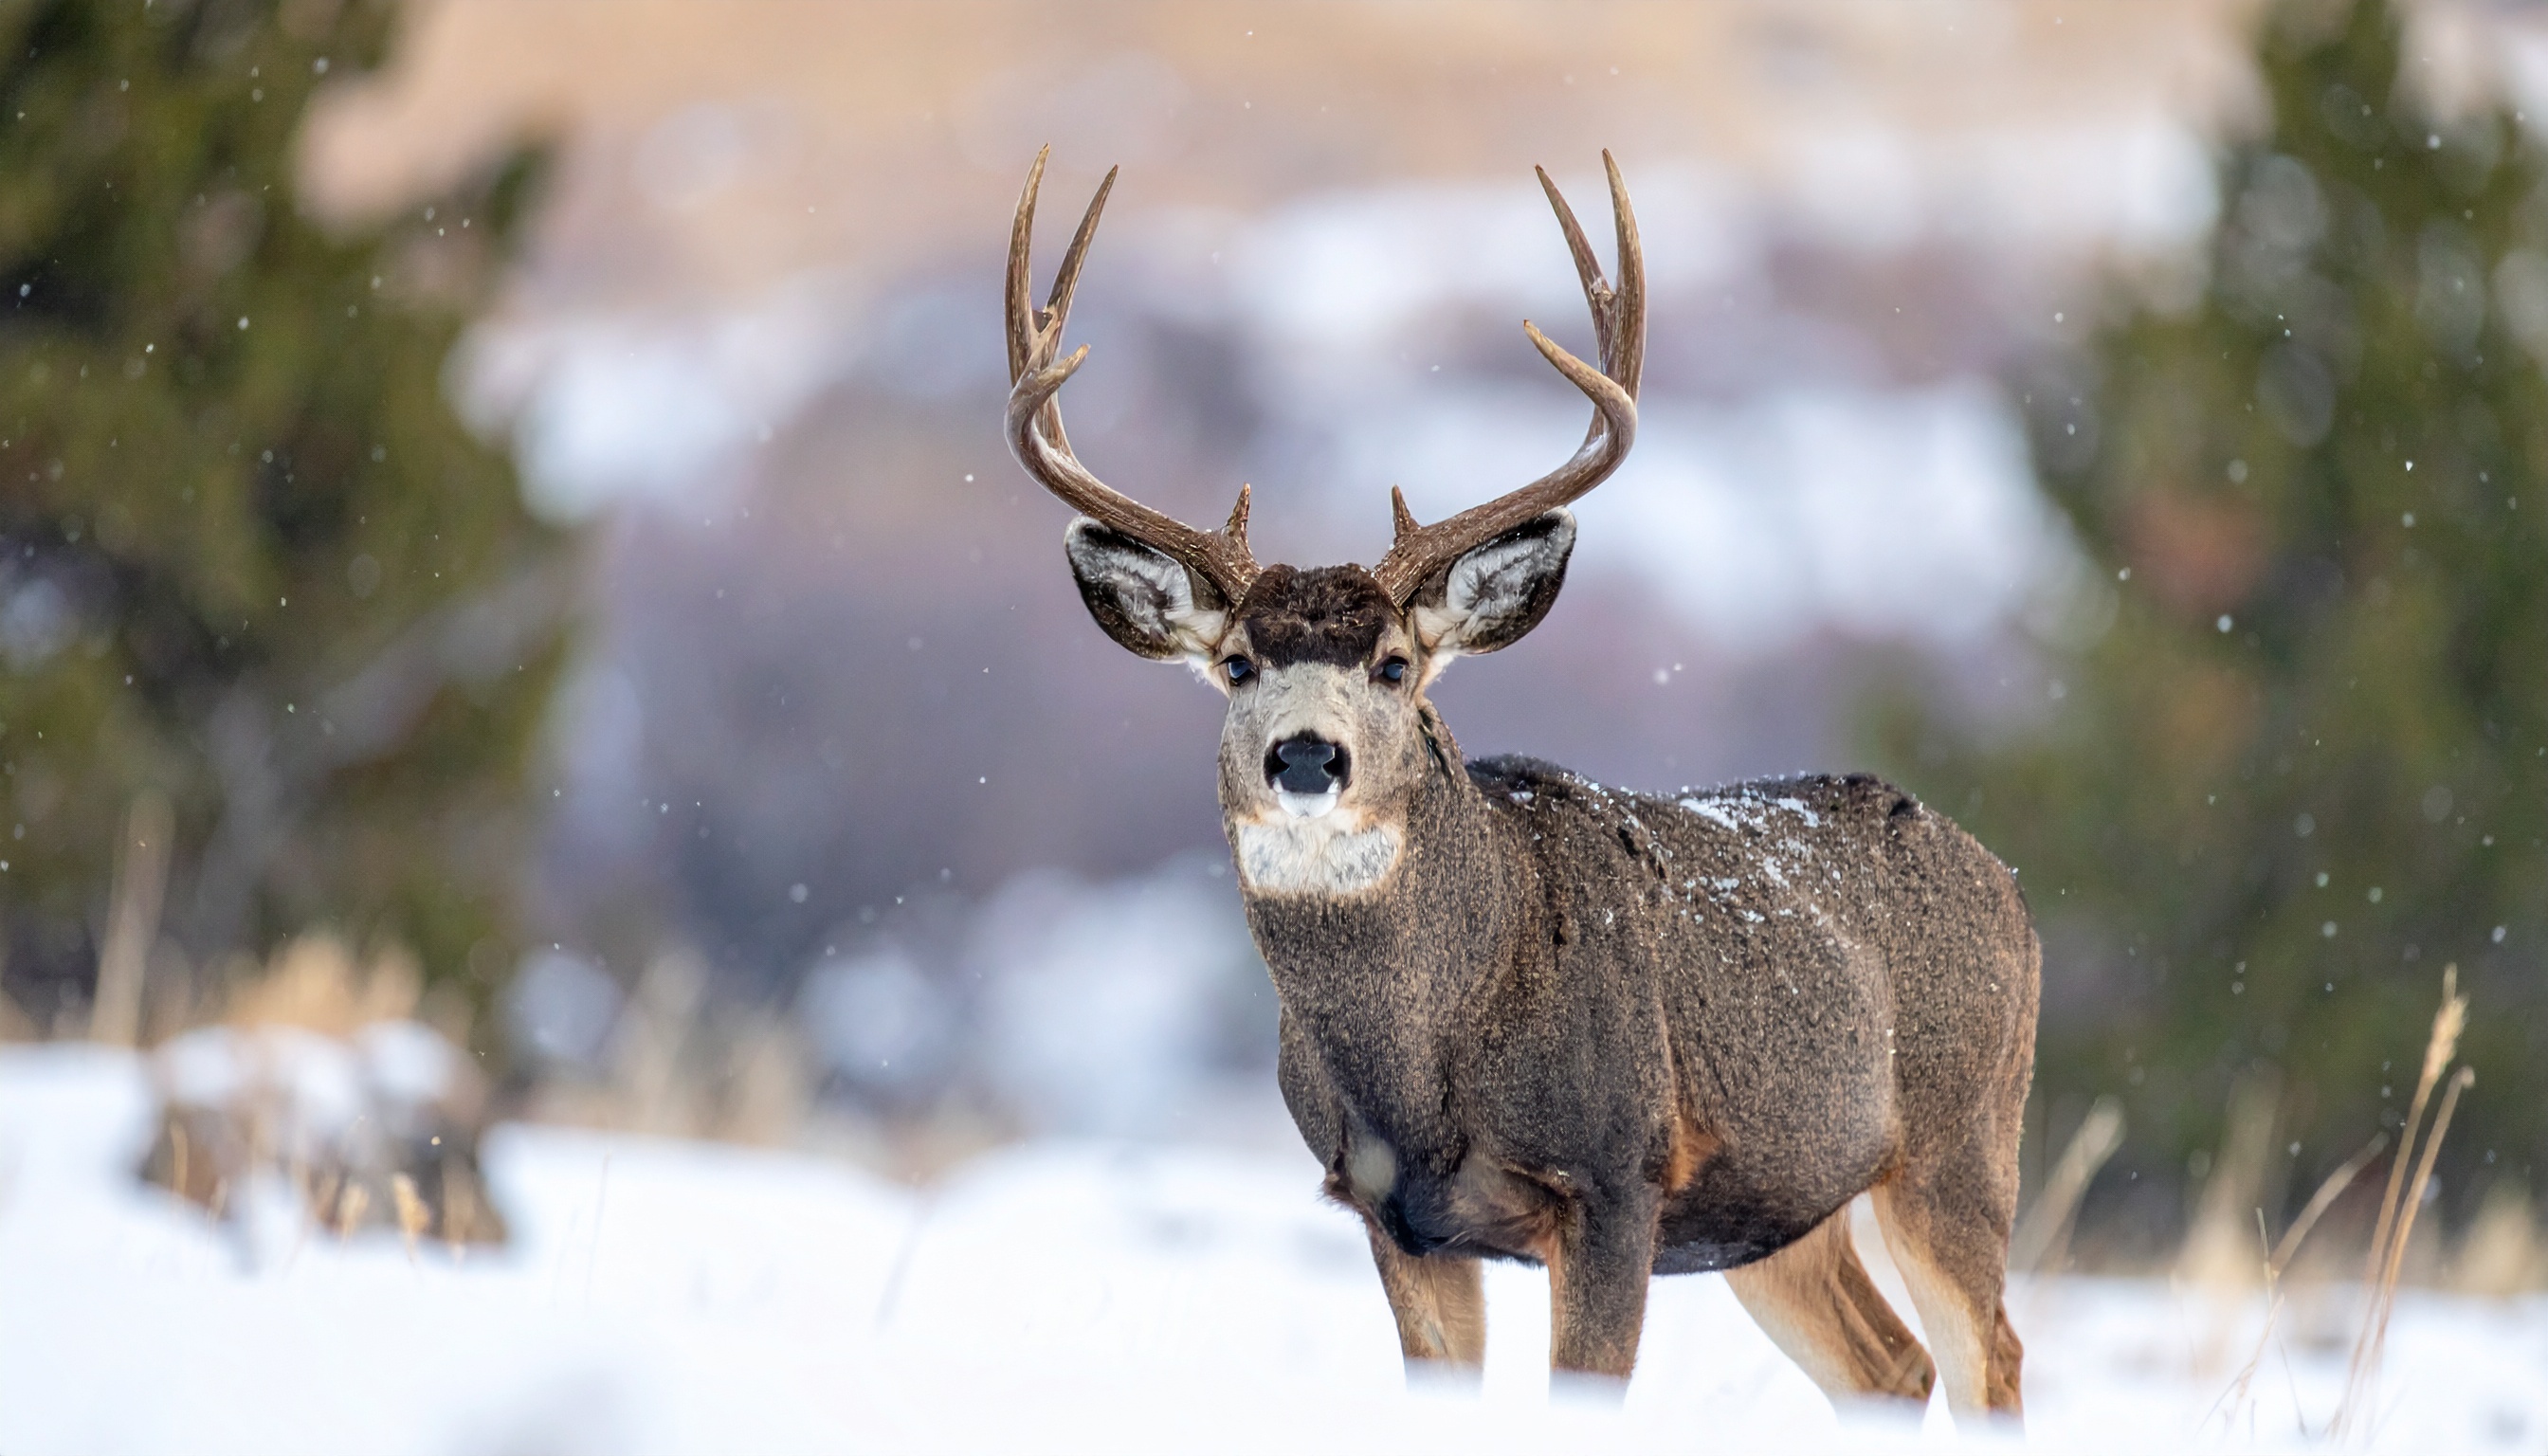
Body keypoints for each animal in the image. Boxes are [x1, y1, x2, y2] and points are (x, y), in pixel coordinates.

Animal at [1002, 147, 2038, 1424]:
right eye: (1237, 662)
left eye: (1395, 664)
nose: (1307, 755)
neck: (1427, 1071)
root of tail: (2007, 882)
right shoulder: (1393, 1214)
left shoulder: (1615, 1179)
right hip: (1778, 1207)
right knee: (1888, 1364)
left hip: (1961, 1138)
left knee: (1990, 1357)